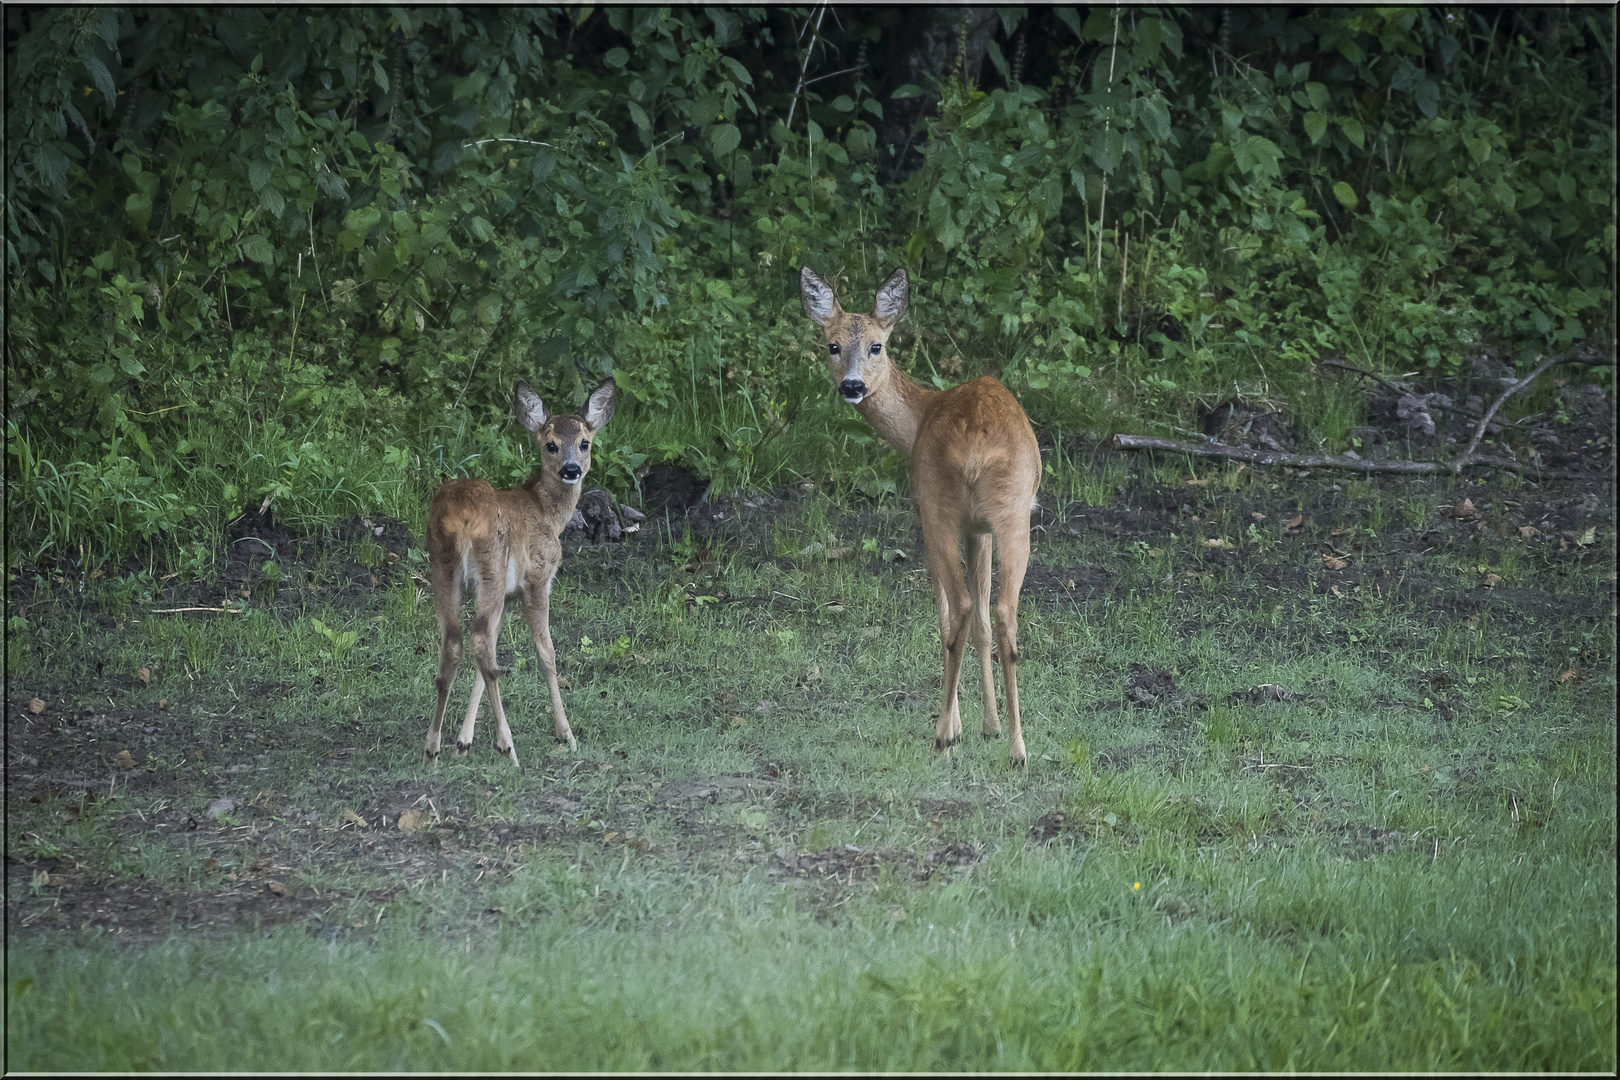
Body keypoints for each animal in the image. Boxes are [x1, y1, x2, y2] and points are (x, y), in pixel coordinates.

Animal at [421, 380, 615, 767]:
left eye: (584, 442)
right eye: (551, 444)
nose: (572, 469)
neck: (547, 514)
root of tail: (461, 518)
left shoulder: (509, 597)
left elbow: (489, 661)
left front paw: (463, 741)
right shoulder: (537, 579)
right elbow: (547, 655)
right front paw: (566, 735)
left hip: (443, 570)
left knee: (457, 642)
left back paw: (433, 748)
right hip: (491, 569)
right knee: (479, 641)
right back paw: (509, 748)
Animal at [797, 265, 1036, 764]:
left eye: (877, 345)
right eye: (832, 344)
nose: (852, 386)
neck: (920, 417)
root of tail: (975, 442)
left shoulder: (931, 515)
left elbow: (950, 618)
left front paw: (962, 726)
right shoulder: (980, 528)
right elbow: (983, 624)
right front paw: (990, 726)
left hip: (939, 508)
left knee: (958, 609)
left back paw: (942, 737)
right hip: (1013, 514)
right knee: (1003, 613)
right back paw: (1018, 749)